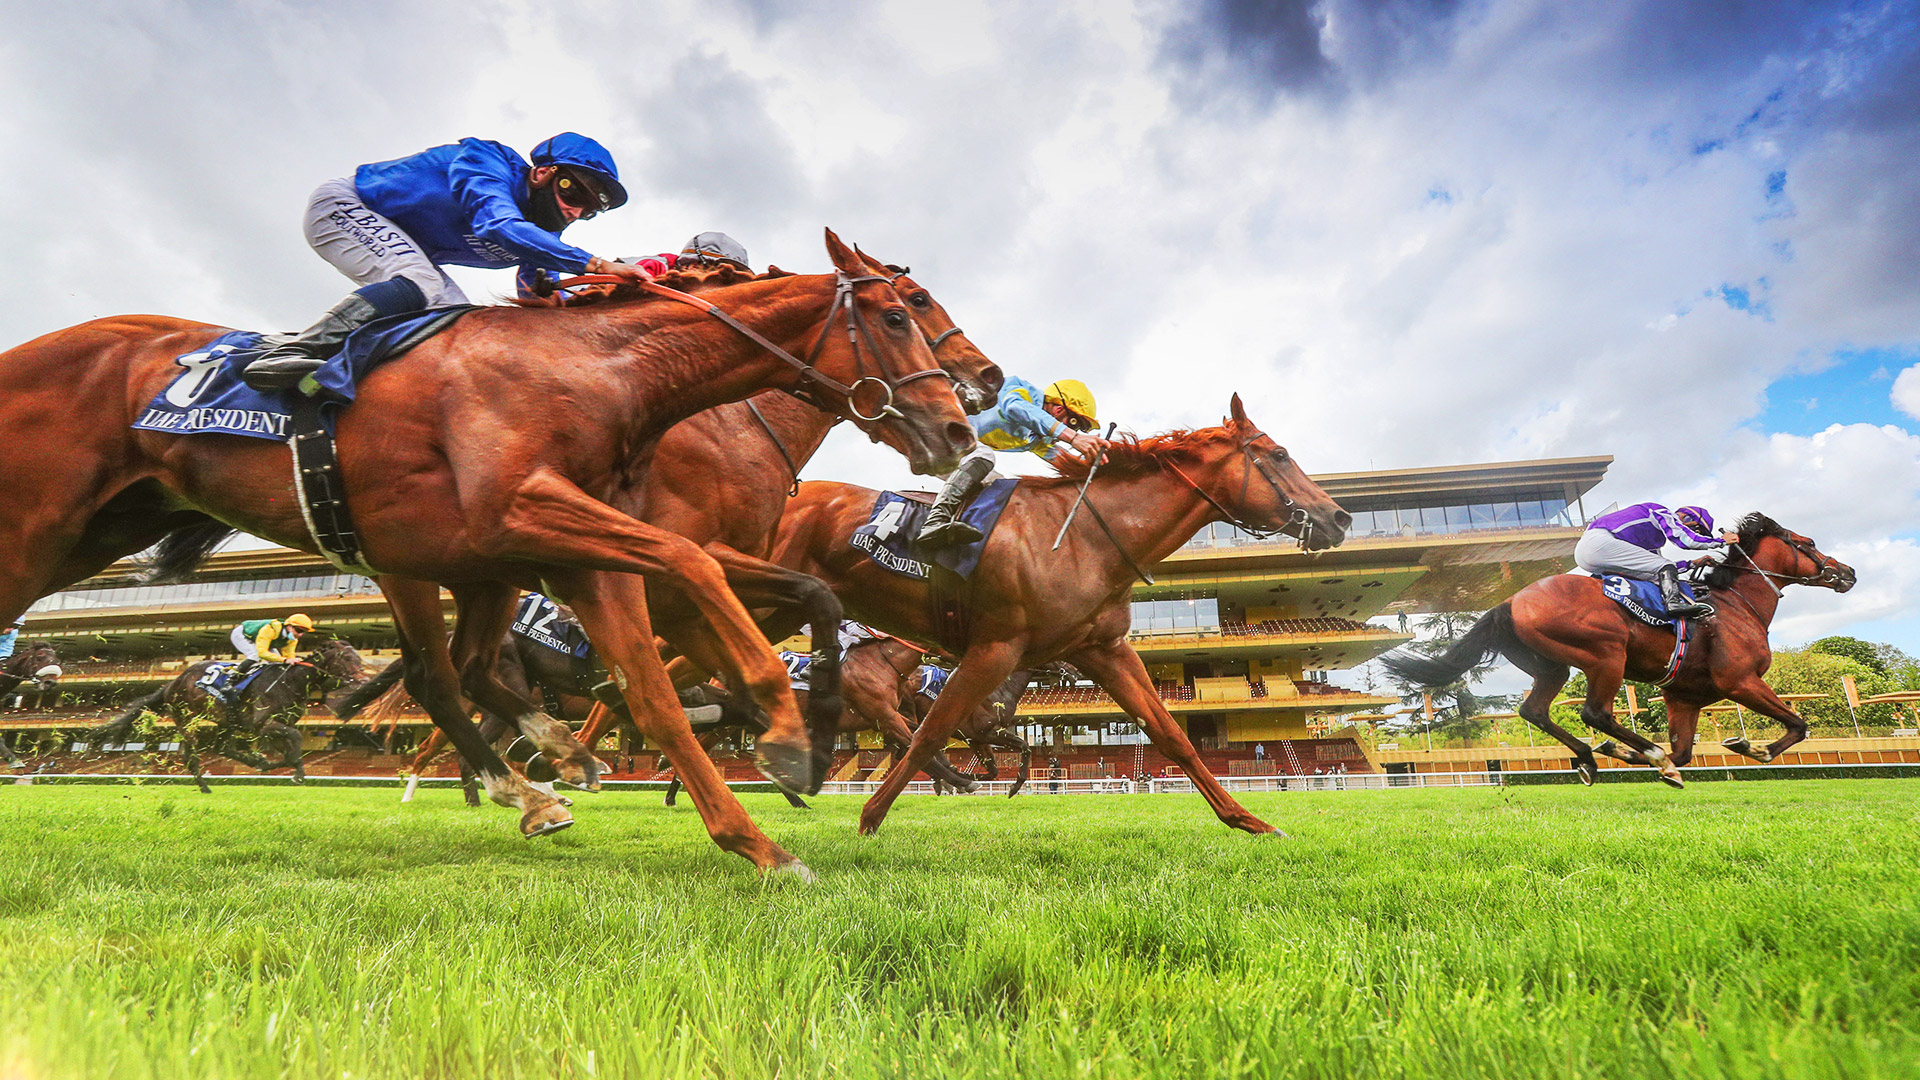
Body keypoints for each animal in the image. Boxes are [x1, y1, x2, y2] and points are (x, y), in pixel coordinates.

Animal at [86, 638, 370, 791]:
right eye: (346, 657)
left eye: (358, 655)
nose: (364, 679)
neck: (290, 681)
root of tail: (171, 684)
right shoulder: (263, 724)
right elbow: (295, 740)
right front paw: (293, 770)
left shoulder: (275, 726)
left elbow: (289, 750)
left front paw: (279, 765)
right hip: (186, 718)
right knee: (190, 753)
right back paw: (204, 786)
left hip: (226, 721)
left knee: (222, 747)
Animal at [768, 395, 1351, 834]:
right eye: (1279, 454)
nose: (1339, 517)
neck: (1083, 537)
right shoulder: (994, 648)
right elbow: (930, 733)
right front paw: (871, 817)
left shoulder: (1101, 649)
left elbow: (1171, 734)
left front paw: (1248, 820)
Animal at [1382, 511, 1858, 780]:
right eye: (1809, 543)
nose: (1849, 572)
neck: (1736, 604)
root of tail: (1510, 600)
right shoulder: (1739, 680)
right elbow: (1797, 724)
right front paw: (1751, 747)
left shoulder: (1684, 696)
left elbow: (1685, 751)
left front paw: (1630, 754)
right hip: (1606, 655)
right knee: (1595, 712)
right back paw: (1640, 752)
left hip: (1553, 665)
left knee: (1534, 710)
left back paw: (1589, 757)